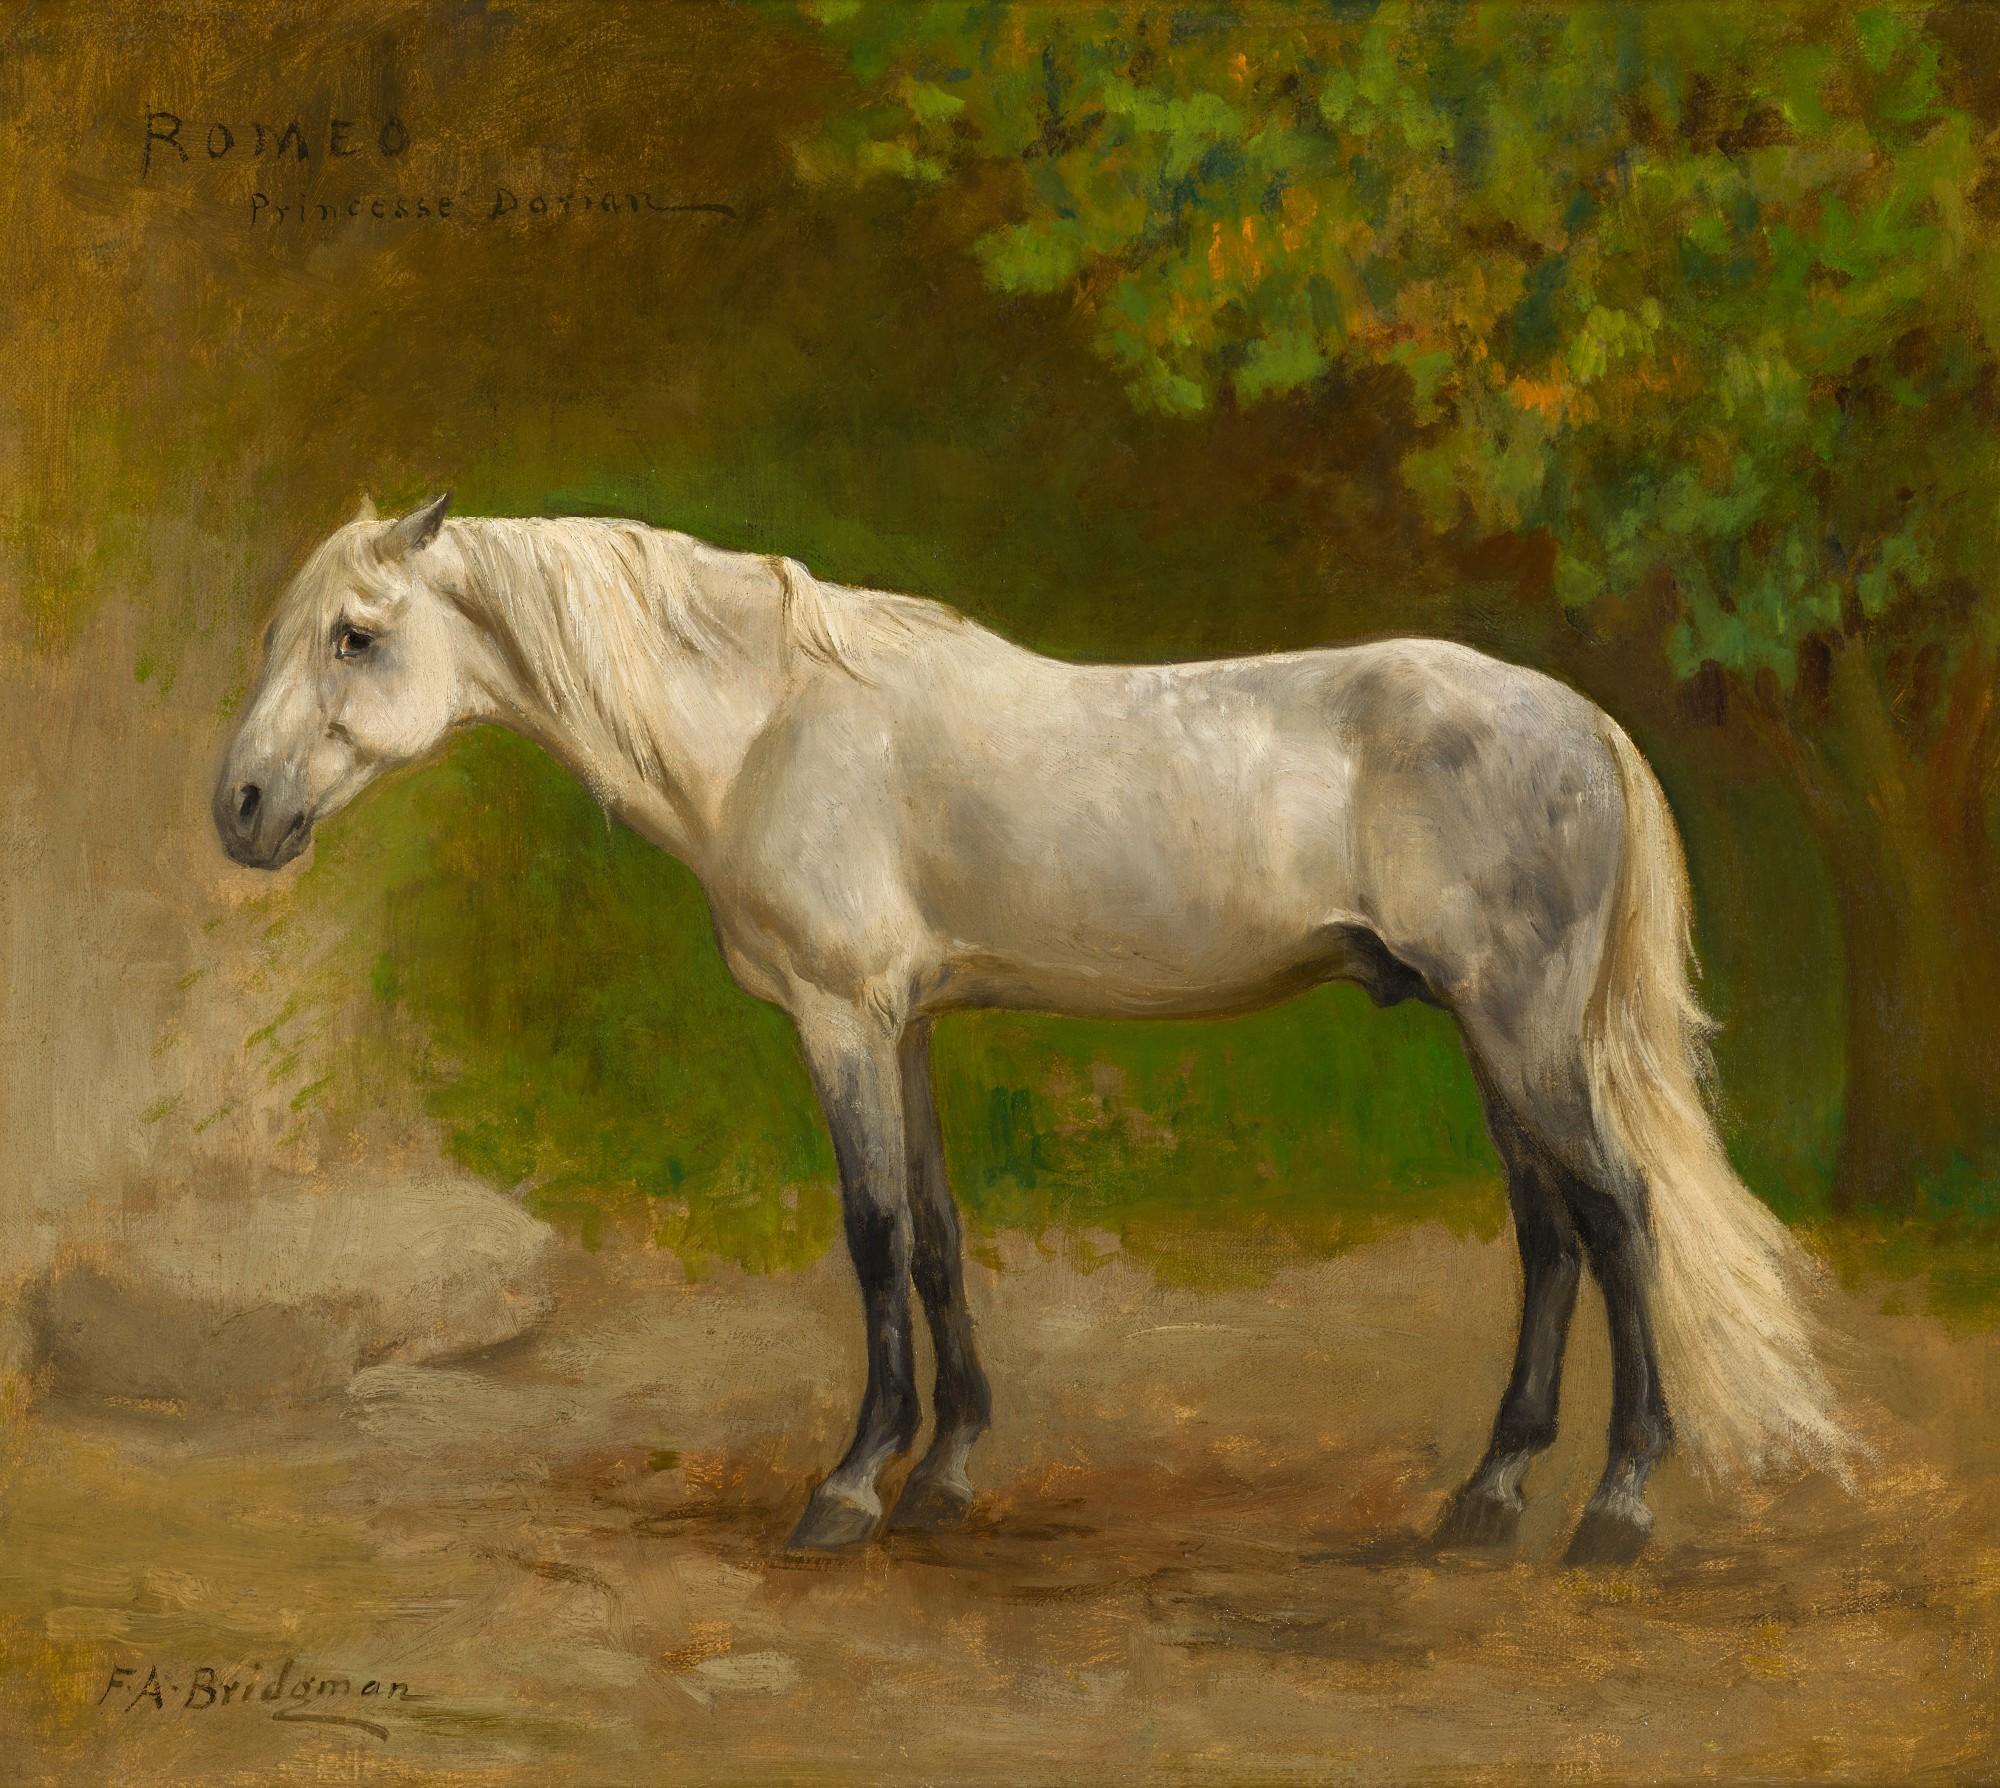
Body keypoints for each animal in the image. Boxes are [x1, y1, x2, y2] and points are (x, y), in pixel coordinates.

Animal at [213, 494, 1852, 1562]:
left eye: (355, 636)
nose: (240, 809)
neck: (767, 724)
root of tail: (1583, 723)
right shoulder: (906, 1023)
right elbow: (939, 1234)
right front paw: (946, 1474)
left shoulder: (841, 1019)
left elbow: (872, 1234)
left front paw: (850, 1490)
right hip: (1491, 1031)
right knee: (1550, 1231)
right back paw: (1484, 1501)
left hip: (1517, 1025)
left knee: (1616, 1216)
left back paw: (1615, 1511)